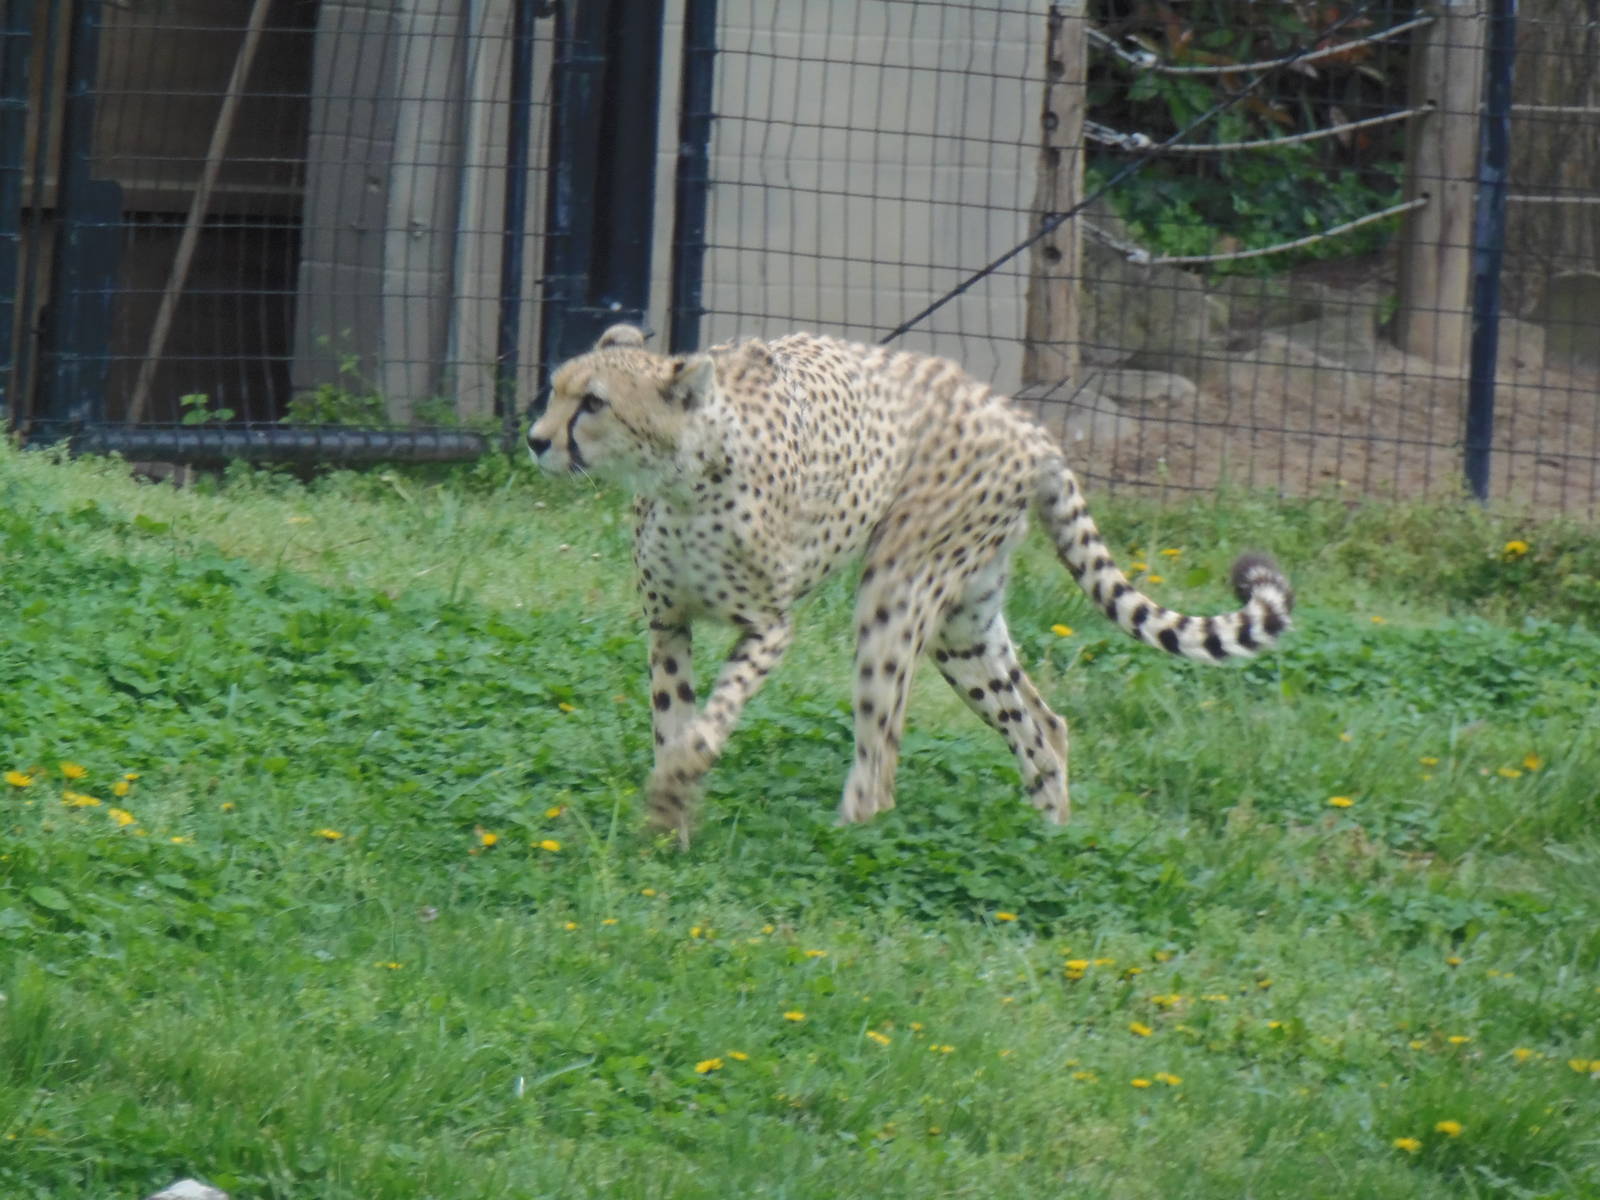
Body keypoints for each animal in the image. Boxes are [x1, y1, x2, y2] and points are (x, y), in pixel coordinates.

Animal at [528, 325, 1293, 846]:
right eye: (556, 387)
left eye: (593, 402)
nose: (536, 439)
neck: (680, 479)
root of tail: (1021, 419)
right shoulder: (668, 624)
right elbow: (672, 721)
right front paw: (670, 825)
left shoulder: (768, 626)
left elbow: (706, 726)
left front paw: (673, 795)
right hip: (963, 624)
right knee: (1043, 725)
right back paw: (1046, 836)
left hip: (897, 588)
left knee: (882, 762)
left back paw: (846, 840)